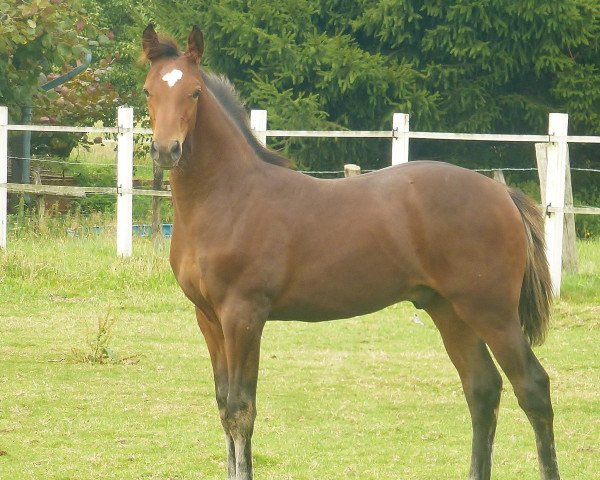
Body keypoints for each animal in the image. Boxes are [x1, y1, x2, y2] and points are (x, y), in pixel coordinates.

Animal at [141, 26, 556, 480]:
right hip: (449, 310)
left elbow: (240, 410)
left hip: (491, 311)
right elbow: (223, 408)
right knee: (482, 388)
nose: (166, 150)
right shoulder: (209, 319)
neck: (228, 196)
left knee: (532, 387)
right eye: (147, 90)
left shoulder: (244, 315)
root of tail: (502, 193)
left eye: (195, 92)